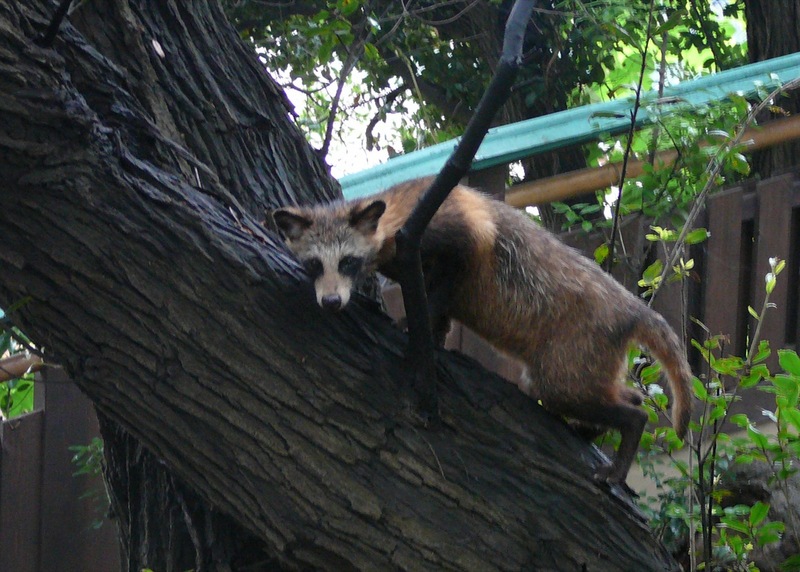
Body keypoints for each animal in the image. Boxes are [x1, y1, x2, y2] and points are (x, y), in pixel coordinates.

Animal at [272, 178, 692, 482]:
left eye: (347, 262)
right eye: (314, 265)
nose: (331, 302)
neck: (388, 213)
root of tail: (630, 307)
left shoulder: (453, 226)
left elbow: (453, 273)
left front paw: (418, 324)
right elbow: (440, 305)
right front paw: (435, 333)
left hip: (575, 348)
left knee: (583, 397)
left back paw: (628, 432)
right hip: (588, 357)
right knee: (611, 394)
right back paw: (608, 418)